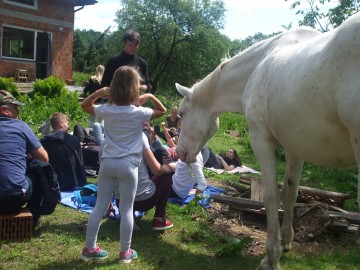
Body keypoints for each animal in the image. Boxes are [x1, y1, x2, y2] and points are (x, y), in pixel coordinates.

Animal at [176, 11, 360, 268]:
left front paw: (271, 257)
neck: (259, 64)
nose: (179, 152)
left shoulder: (261, 140)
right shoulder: (295, 149)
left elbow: (272, 196)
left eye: (182, 113)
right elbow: (290, 194)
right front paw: (286, 242)